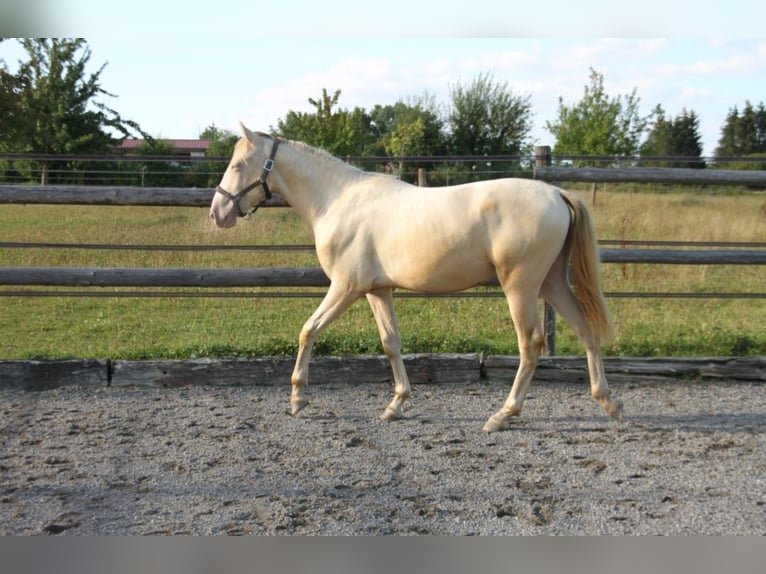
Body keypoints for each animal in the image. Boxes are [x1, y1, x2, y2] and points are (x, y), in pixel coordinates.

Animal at [210, 122, 624, 432]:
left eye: (237, 164)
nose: (217, 213)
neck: (338, 200)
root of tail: (556, 193)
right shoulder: (378, 291)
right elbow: (391, 342)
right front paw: (396, 404)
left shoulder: (346, 287)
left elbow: (308, 330)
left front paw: (298, 398)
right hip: (552, 282)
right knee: (585, 330)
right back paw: (608, 402)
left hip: (520, 286)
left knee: (531, 344)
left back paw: (503, 414)